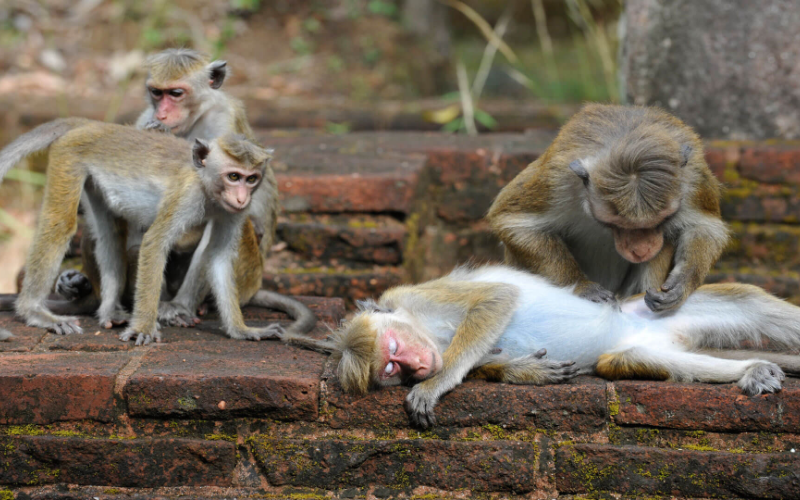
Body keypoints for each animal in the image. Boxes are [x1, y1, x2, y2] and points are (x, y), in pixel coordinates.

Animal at [0, 118, 292, 344]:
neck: (208, 187)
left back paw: (109, 310)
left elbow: (219, 257)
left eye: (251, 178)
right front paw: (143, 328)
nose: (241, 198)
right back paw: (34, 312)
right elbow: (155, 242)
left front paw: (242, 330)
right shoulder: (187, 196)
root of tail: (97, 126)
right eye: (233, 176)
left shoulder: (234, 214)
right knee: (60, 224)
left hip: (92, 177)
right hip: (69, 155)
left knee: (109, 235)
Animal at [484, 103, 728, 310]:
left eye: (662, 220)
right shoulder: (555, 180)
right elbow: (512, 220)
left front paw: (681, 284)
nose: (641, 250)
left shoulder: (695, 175)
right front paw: (582, 286)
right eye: (616, 224)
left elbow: (705, 228)